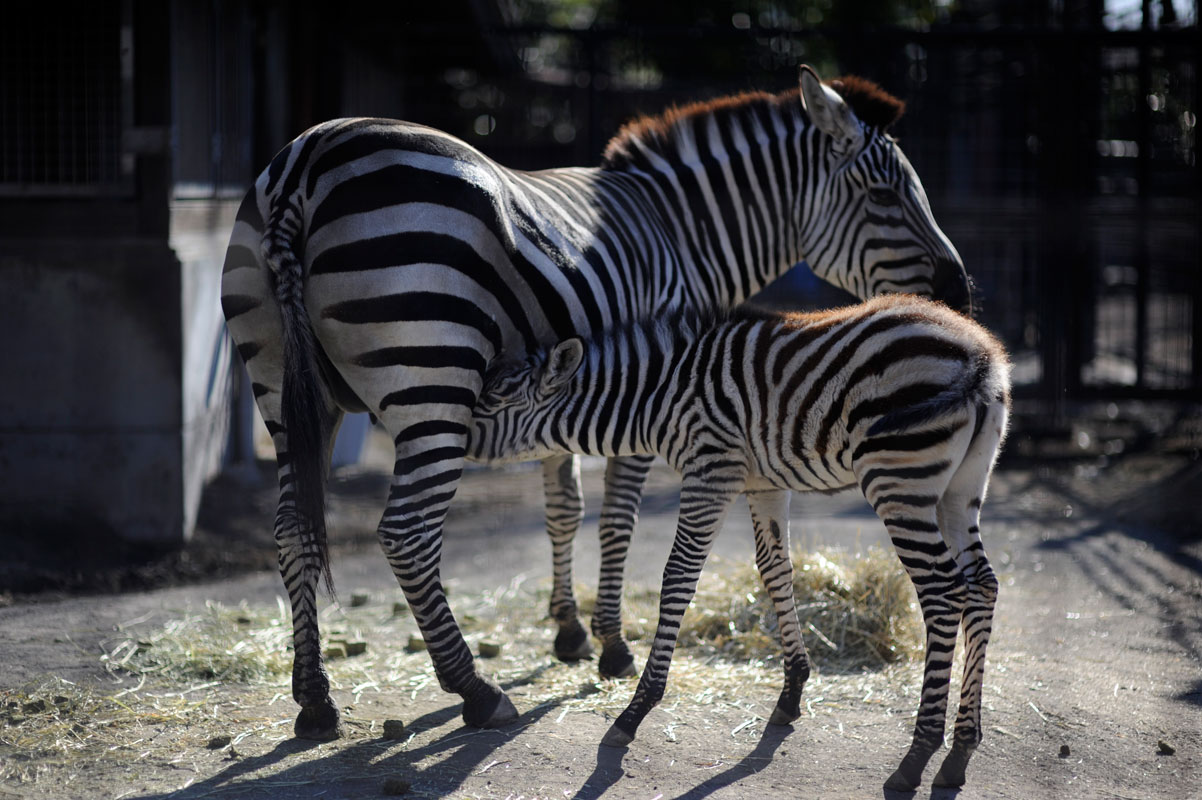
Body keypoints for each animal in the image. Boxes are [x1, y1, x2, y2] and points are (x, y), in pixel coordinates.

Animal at [218, 65, 966, 739]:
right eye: (886, 193)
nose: (959, 294)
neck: (681, 228)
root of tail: (305, 163)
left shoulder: (562, 391)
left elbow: (563, 508)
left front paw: (570, 631)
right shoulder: (649, 380)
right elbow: (617, 521)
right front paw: (611, 645)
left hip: (282, 386)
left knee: (292, 528)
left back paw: (314, 699)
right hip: (434, 381)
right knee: (406, 533)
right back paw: (476, 691)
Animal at [471, 295, 1014, 787]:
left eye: (493, 404)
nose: (454, 436)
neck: (659, 395)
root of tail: (981, 356)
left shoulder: (711, 468)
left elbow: (679, 575)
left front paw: (636, 710)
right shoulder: (763, 482)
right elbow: (774, 569)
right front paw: (792, 693)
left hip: (899, 480)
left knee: (943, 594)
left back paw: (917, 755)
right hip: (960, 488)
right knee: (981, 586)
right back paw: (961, 749)